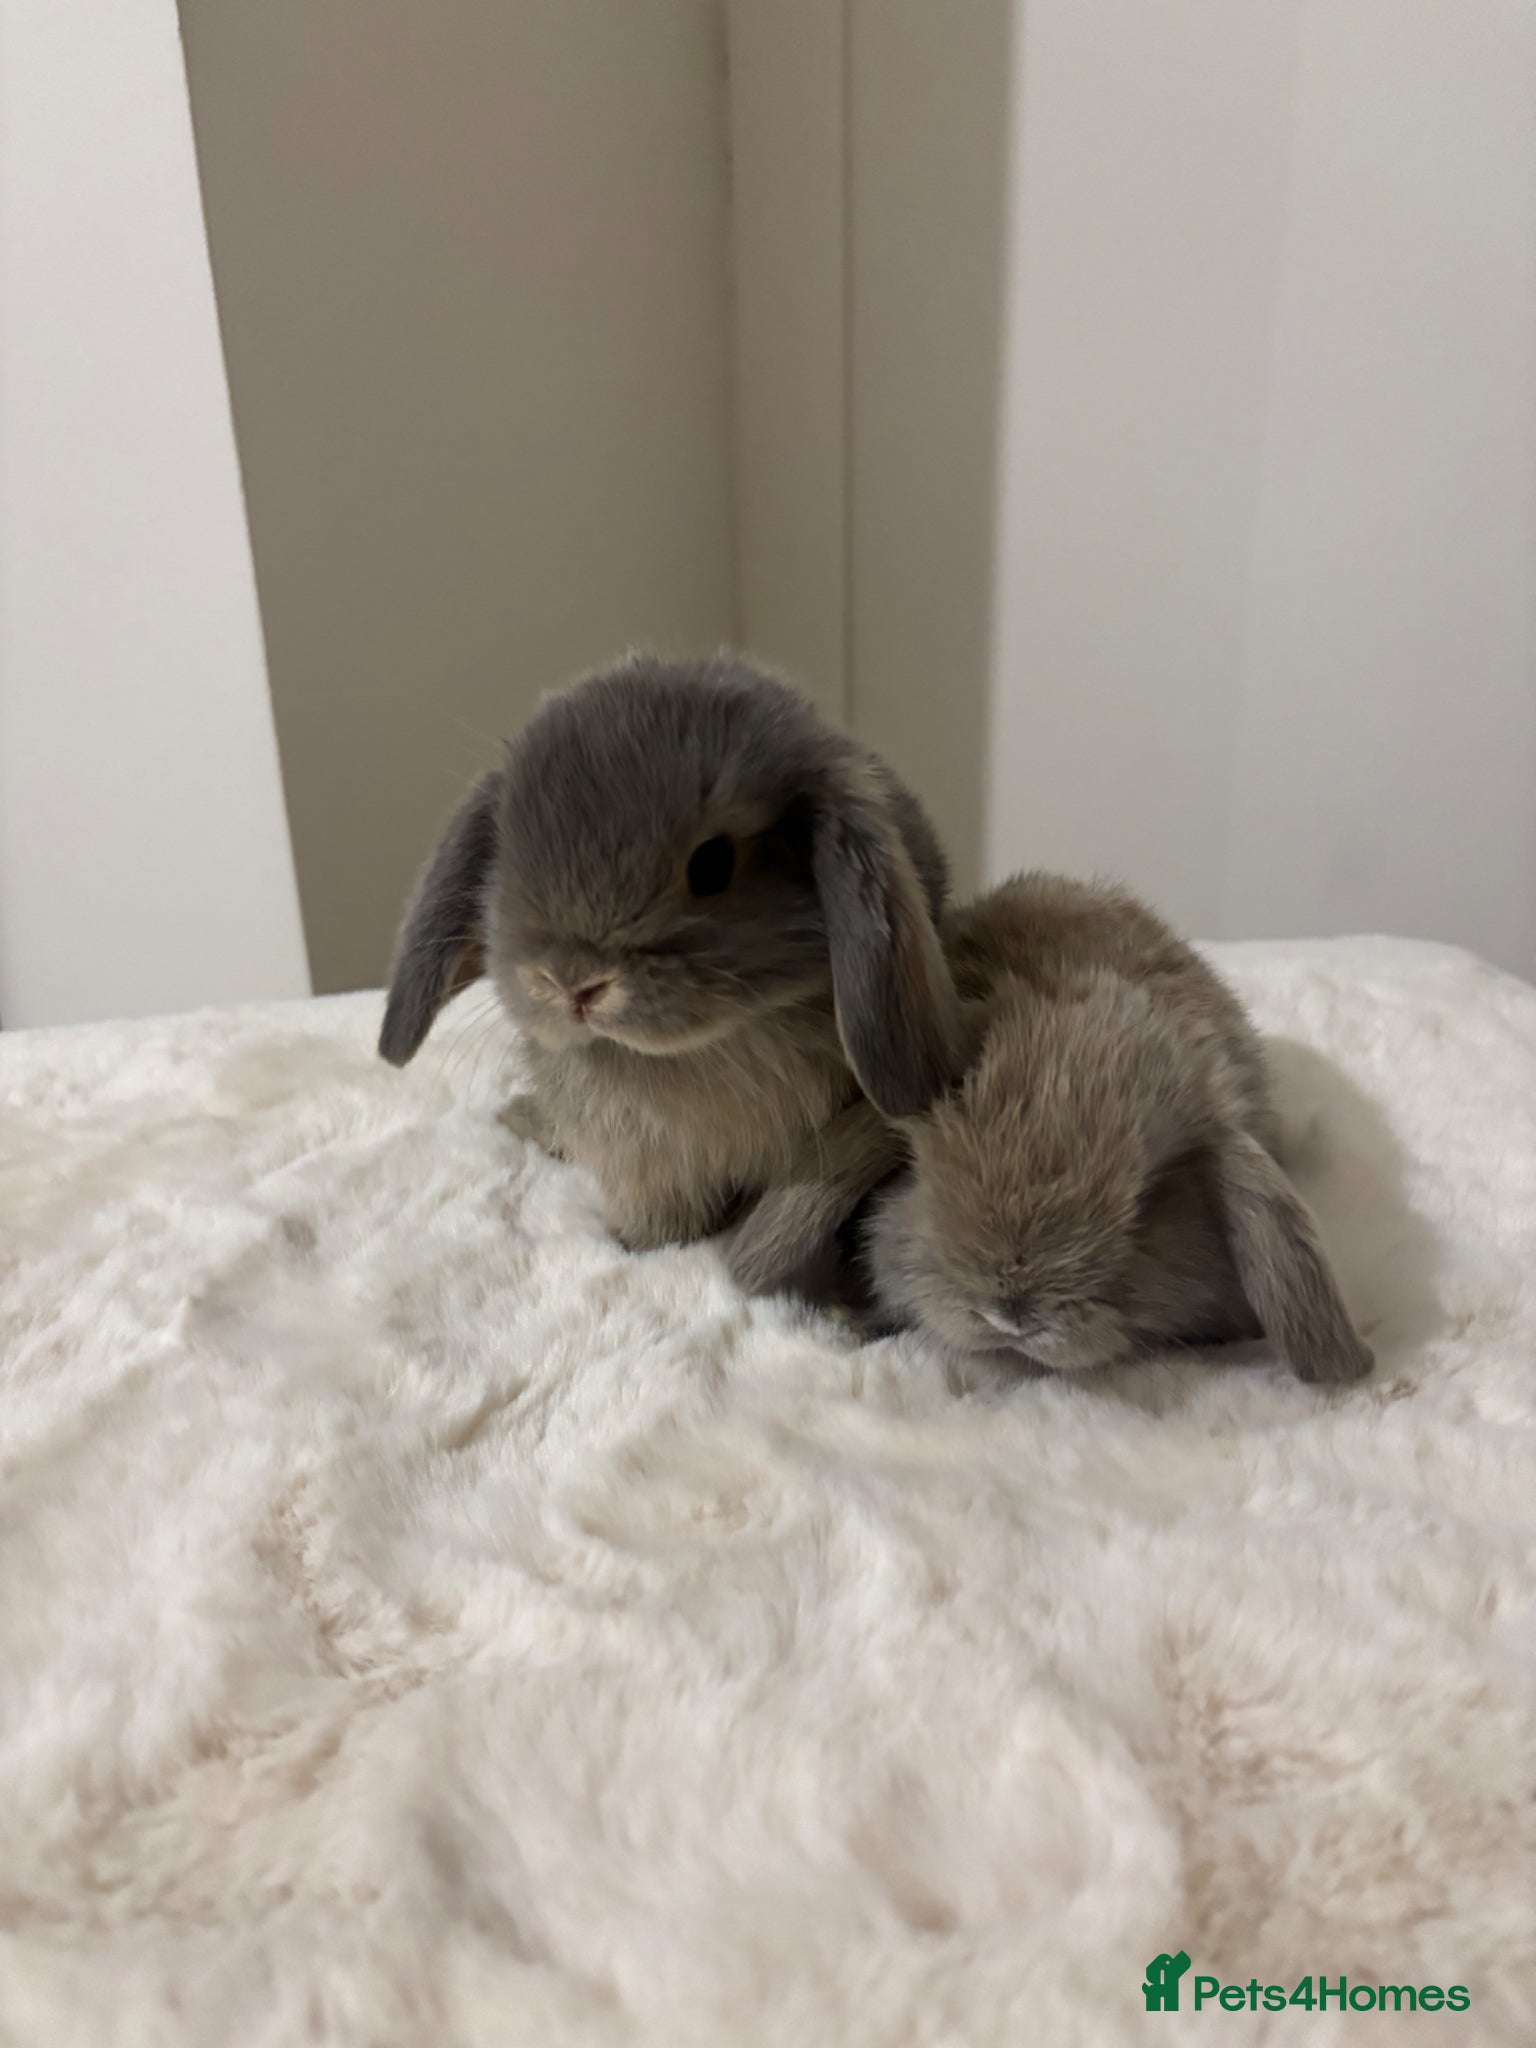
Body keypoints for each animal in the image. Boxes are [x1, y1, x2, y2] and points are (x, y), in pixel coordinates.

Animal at [378, 651, 960, 1262]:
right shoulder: (646, 1170)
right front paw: (638, 1244)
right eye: (503, 854)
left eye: (713, 863)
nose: (570, 984)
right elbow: (664, 1222)